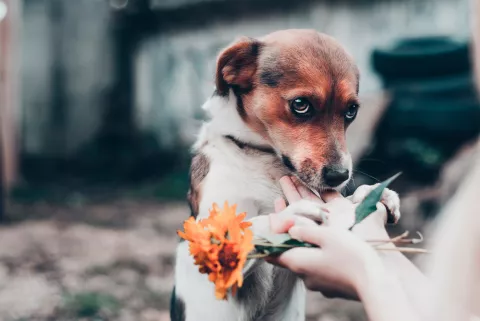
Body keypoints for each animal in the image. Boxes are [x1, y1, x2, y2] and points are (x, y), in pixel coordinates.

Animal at [171, 29, 400, 320]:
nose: (339, 176)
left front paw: (371, 194)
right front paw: (290, 214)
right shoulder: (207, 247)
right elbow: (245, 227)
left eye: (351, 110)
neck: (264, 159)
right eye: (300, 105)